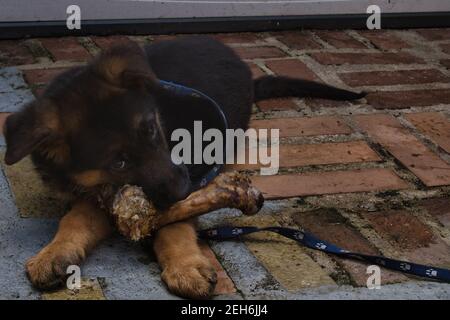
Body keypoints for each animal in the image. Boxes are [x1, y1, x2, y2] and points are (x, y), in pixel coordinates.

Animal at [4, 36, 366, 298]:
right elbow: (76, 218)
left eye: (152, 130)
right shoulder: (95, 192)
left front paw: (186, 266)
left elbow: (173, 224)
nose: (182, 191)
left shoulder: (195, 169)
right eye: (119, 162)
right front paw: (54, 253)